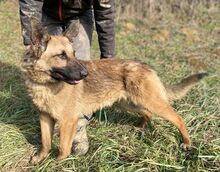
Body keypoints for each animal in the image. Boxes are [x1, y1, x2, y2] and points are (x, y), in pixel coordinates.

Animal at [21, 18, 206, 164]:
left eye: (74, 54)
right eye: (61, 55)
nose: (85, 74)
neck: (45, 83)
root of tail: (147, 66)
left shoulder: (68, 121)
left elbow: (63, 149)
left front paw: (56, 163)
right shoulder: (45, 117)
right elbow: (46, 143)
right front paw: (40, 158)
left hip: (152, 103)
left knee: (178, 118)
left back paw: (187, 142)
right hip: (129, 103)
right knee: (147, 113)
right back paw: (140, 128)